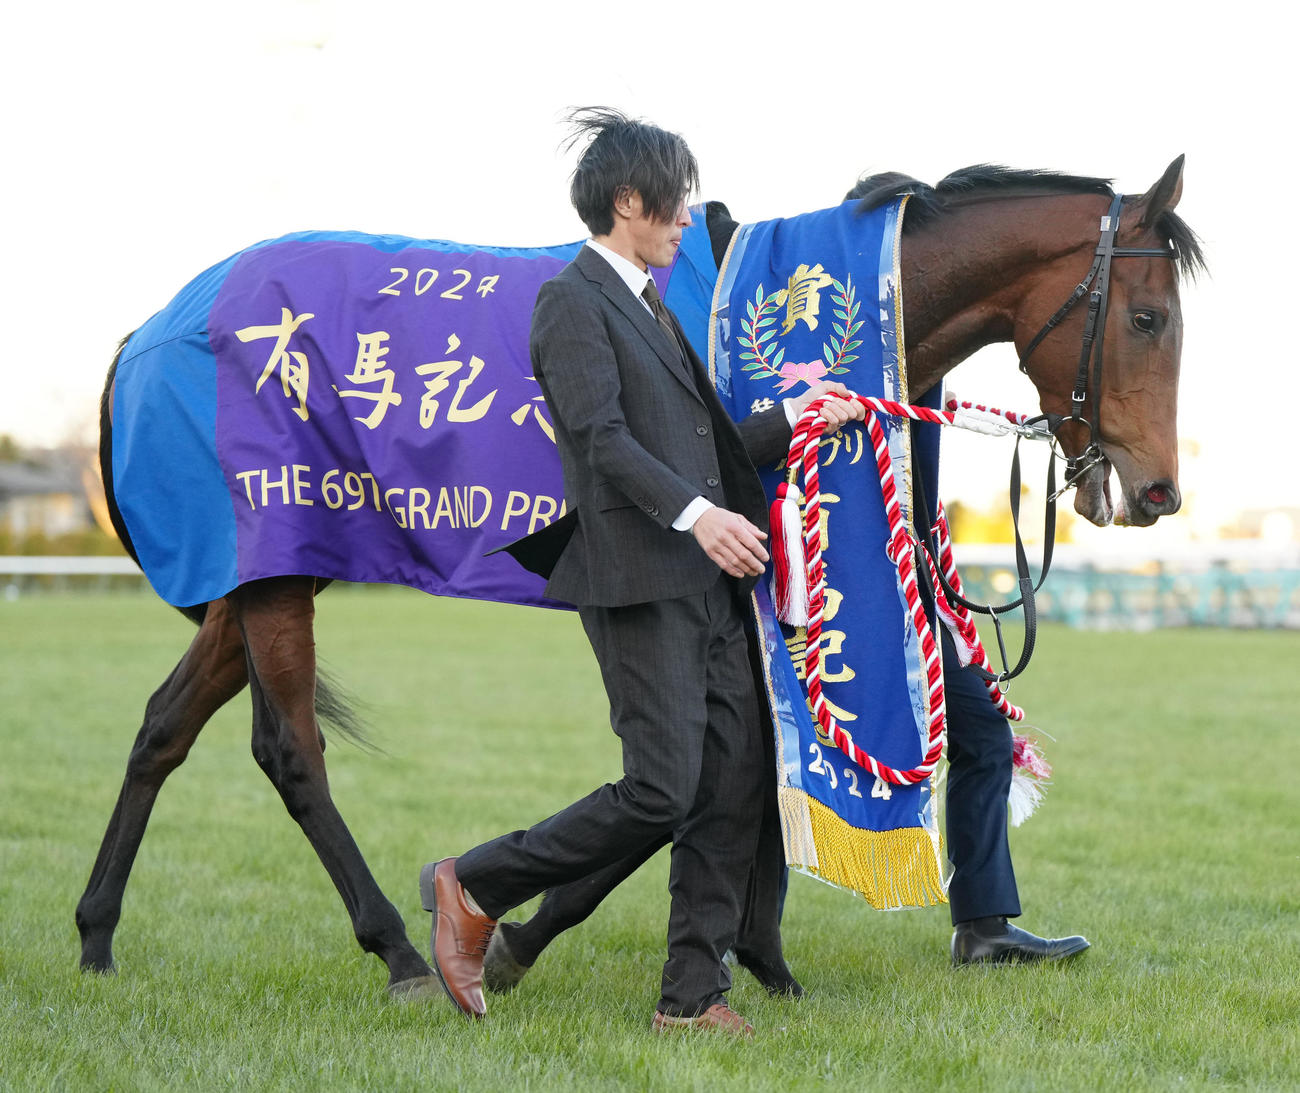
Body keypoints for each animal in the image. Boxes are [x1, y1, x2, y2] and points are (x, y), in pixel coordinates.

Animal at [76, 157, 1202, 997]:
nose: (1157, 490)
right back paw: (396, 948)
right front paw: (517, 937)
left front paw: (760, 952)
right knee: (291, 749)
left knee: (165, 723)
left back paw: (95, 933)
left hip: (258, 569)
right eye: (1148, 318)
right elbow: (700, 770)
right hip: (268, 564)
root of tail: (146, 332)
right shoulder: (732, 577)